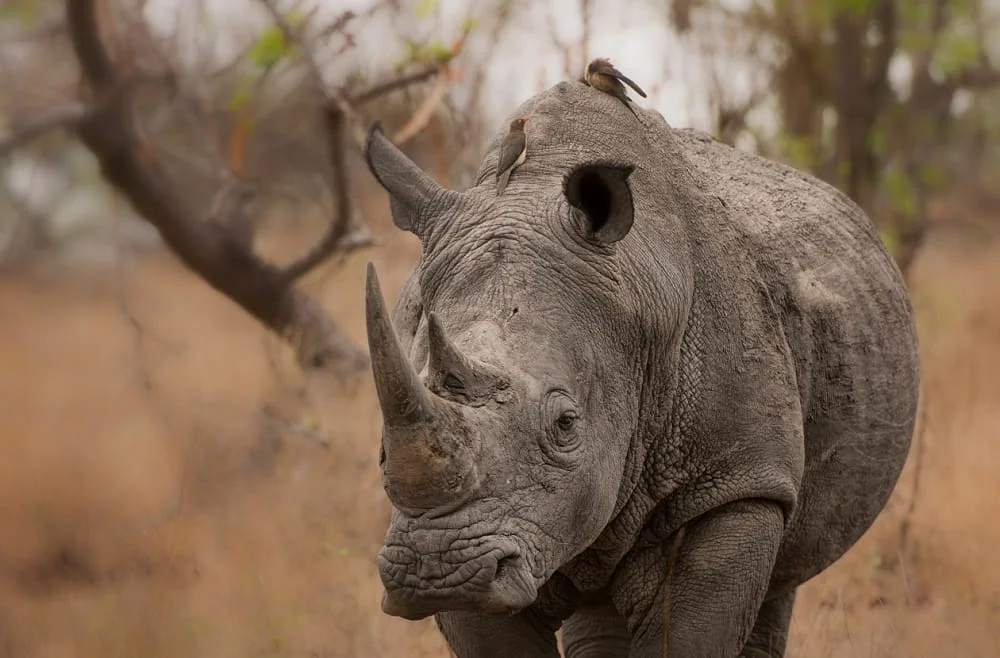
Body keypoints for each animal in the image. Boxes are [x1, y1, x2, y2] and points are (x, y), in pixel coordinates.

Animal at [360, 81, 920, 658]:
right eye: (381, 449)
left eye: (565, 424)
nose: (437, 571)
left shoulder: (737, 480)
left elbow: (691, 634)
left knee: (780, 579)